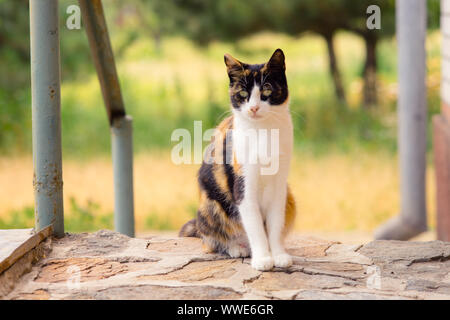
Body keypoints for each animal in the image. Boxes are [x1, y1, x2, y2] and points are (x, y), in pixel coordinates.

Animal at [179, 49, 296, 270]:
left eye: (266, 90)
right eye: (242, 94)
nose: (254, 108)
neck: (263, 131)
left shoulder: (280, 185)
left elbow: (276, 223)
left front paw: (278, 255)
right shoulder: (243, 185)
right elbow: (255, 226)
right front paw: (263, 259)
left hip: (290, 198)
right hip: (210, 206)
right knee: (210, 242)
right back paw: (236, 248)